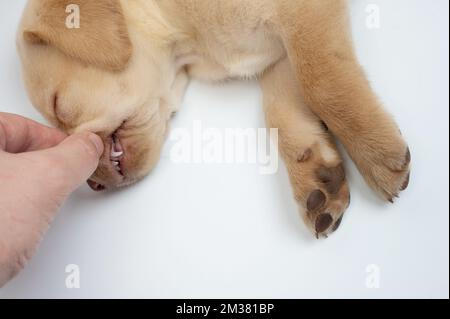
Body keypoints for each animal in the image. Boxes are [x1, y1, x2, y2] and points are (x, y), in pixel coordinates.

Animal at [16, 0, 412, 239]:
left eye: (58, 106)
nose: (92, 185)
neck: (188, 43)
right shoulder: (280, 58)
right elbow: (280, 111)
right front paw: (316, 174)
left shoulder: (303, 18)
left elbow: (323, 83)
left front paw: (377, 151)